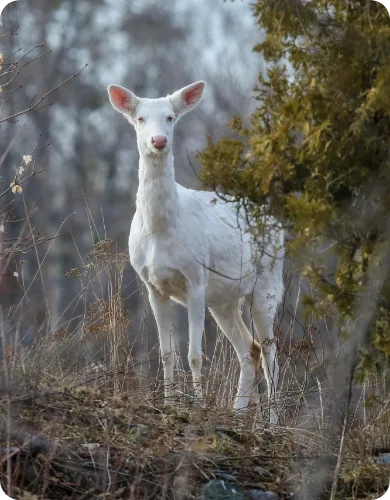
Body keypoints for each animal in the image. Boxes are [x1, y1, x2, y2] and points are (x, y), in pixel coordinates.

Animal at [106, 81, 284, 422]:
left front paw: (198, 407)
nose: (158, 141)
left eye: (171, 117)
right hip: (224, 300)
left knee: (270, 352)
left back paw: (273, 422)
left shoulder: (195, 279)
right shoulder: (153, 285)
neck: (162, 232)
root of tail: (280, 226)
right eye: (140, 119)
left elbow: (195, 355)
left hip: (267, 285)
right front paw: (169, 403)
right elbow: (166, 353)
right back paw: (237, 413)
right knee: (249, 349)